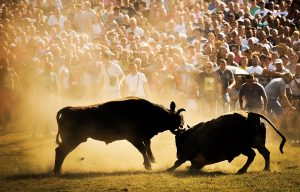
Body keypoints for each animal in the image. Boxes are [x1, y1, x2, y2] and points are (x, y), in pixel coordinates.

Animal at [54, 97, 185, 174]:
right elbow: (143, 149)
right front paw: (148, 165)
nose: (182, 125)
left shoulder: (144, 137)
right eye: (177, 118)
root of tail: (68, 109)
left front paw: (153, 160)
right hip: (73, 140)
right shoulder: (133, 138)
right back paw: (57, 170)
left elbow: (147, 146)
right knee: (60, 151)